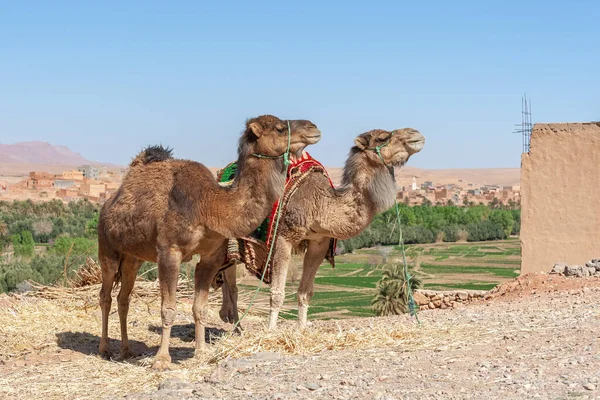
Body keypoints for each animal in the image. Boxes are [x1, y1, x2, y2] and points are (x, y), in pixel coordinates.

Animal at [98, 115, 322, 368]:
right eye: (280, 128)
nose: (313, 127)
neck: (210, 206)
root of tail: (108, 203)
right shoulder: (169, 252)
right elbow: (168, 308)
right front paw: (162, 359)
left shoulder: (210, 257)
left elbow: (200, 308)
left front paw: (201, 352)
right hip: (107, 247)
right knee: (105, 296)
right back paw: (104, 349)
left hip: (132, 257)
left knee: (123, 298)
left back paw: (126, 350)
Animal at [219, 127, 422, 328]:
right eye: (383, 137)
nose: (416, 134)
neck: (321, 206)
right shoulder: (283, 237)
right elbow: (277, 293)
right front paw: (271, 331)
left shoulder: (319, 243)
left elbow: (305, 293)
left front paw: (301, 329)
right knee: (231, 282)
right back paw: (234, 326)